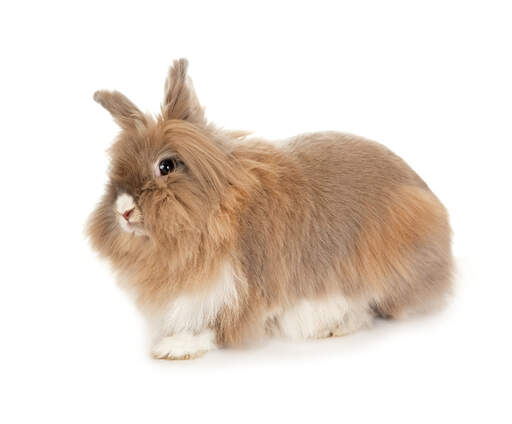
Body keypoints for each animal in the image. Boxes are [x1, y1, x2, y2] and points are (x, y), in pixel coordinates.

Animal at [87, 58, 452, 360]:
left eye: (166, 166)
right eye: (114, 172)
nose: (123, 210)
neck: (222, 210)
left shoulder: (242, 290)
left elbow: (219, 328)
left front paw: (174, 347)